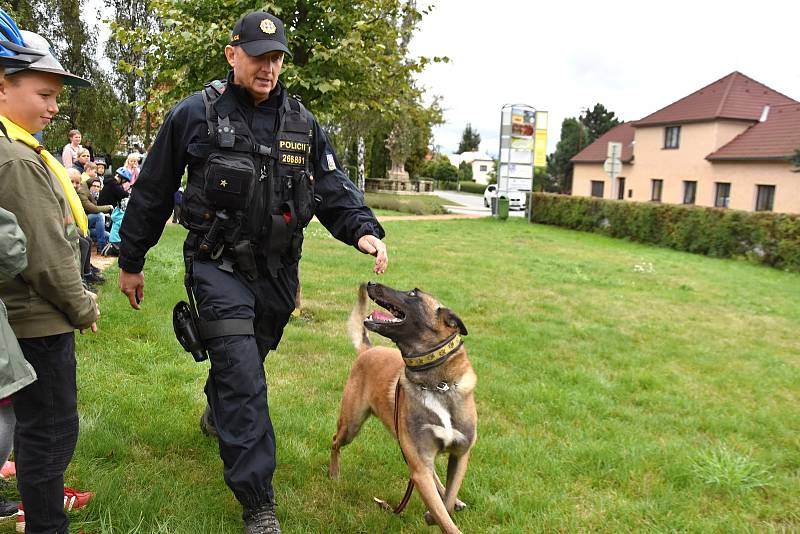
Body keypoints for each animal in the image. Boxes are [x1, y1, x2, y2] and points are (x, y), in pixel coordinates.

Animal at [330, 282, 478, 532]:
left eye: (412, 294)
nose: (371, 283)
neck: (438, 385)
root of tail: (368, 349)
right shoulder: (419, 465)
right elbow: (444, 516)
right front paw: (435, 515)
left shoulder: (460, 454)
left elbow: (446, 503)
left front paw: (437, 511)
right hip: (351, 424)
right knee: (334, 442)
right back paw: (334, 473)